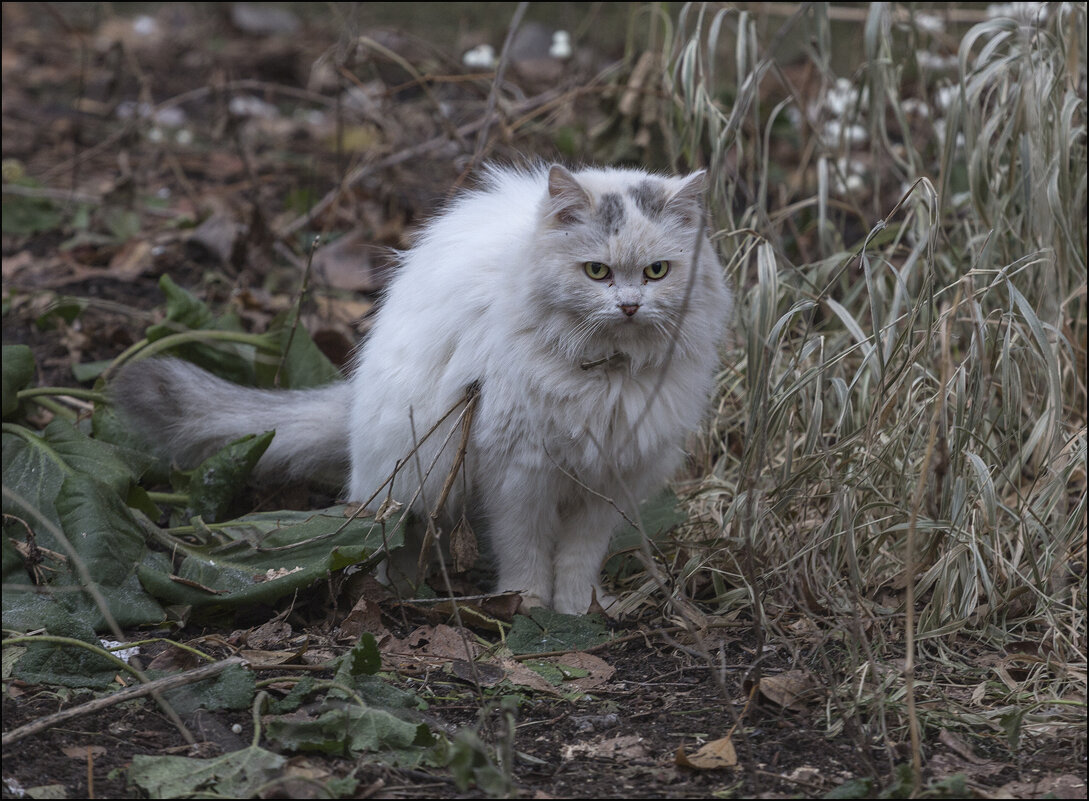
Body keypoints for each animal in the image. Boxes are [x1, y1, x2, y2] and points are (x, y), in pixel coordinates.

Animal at [114, 163, 731, 613]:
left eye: (656, 271)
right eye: (596, 272)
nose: (628, 306)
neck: (607, 374)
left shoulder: (608, 482)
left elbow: (579, 558)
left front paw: (580, 612)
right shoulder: (519, 473)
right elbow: (526, 552)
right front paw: (528, 608)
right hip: (401, 483)